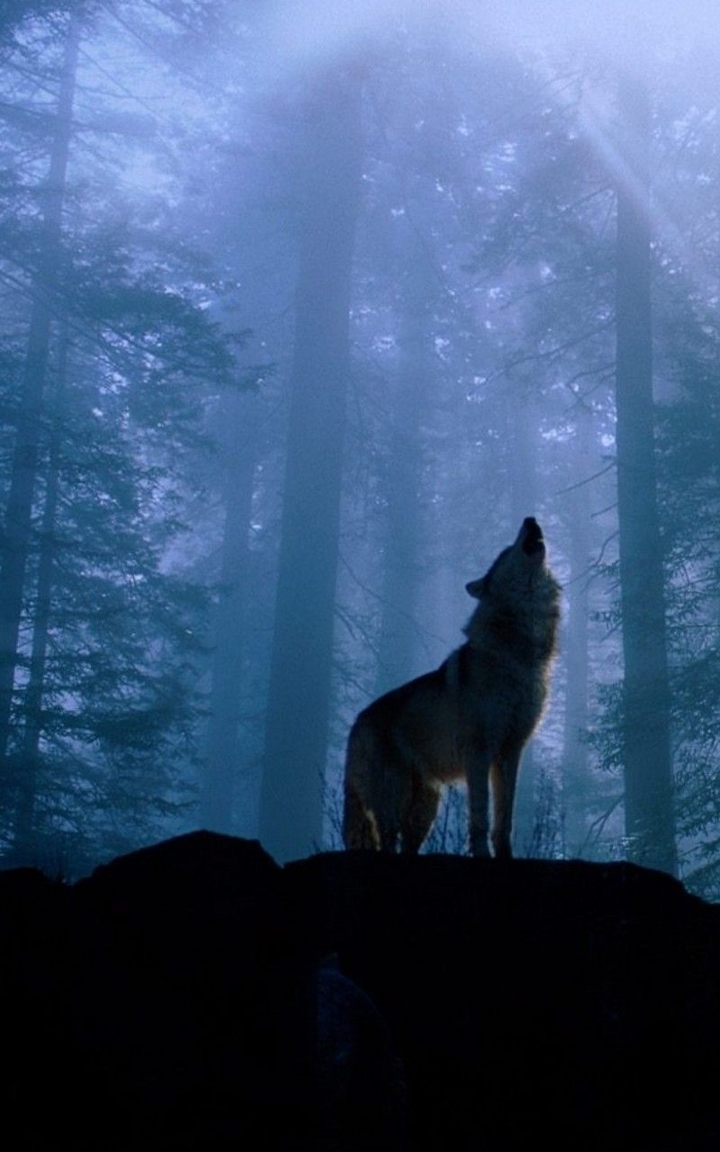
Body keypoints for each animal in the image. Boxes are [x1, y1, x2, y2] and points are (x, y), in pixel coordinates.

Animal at [343, 517, 561, 858]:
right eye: (506, 551)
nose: (530, 519)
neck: (517, 653)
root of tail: (356, 722)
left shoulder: (511, 751)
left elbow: (504, 819)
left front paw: (506, 857)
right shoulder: (478, 753)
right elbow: (480, 817)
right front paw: (483, 855)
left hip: (425, 810)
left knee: (407, 847)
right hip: (392, 801)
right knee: (387, 842)